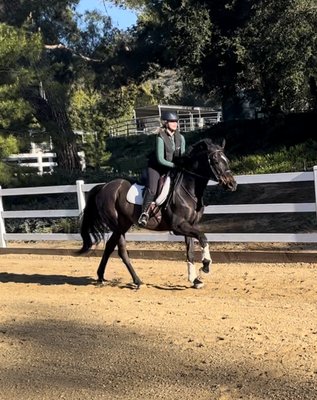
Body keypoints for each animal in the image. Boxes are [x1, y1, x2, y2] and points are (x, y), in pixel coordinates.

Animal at [79, 139, 237, 290]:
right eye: (215, 161)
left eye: (227, 160)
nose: (232, 184)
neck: (188, 190)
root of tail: (104, 186)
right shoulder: (179, 226)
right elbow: (203, 238)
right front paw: (205, 265)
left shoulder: (190, 225)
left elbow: (190, 252)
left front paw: (195, 280)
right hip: (117, 226)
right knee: (121, 251)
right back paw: (137, 281)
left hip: (123, 225)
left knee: (110, 247)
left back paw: (102, 277)